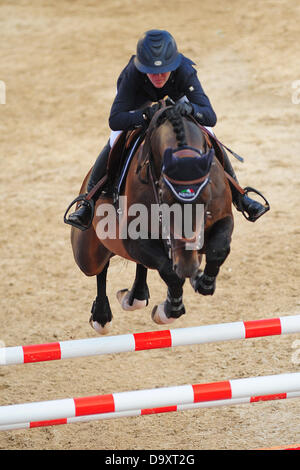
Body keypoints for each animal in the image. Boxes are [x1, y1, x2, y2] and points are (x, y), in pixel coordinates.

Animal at [68, 106, 234, 334]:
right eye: (165, 197)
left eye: (207, 196)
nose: (187, 266)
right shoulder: (133, 239)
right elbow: (169, 272)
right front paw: (170, 309)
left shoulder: (221, 219)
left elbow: (218, 250)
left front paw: (203, 282)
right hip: (87, 253)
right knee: (100, 269)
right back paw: (102, 315)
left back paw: (137, 294)